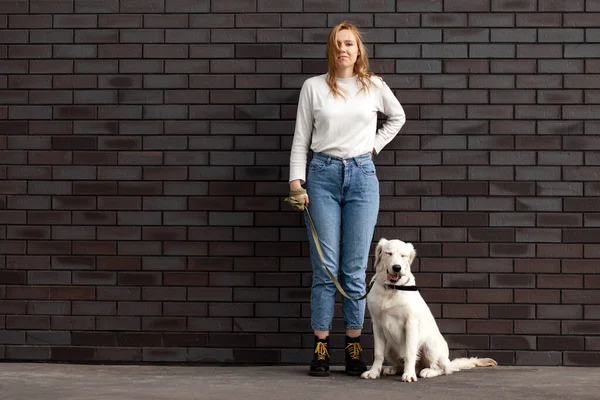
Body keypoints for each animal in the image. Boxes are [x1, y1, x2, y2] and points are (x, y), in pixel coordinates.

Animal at [360, 238, 496, 382]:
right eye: (388, 253)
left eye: (403, 256)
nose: (397, 268)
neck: (391, 289)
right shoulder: (377, 324)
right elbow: (378, 353)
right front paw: (373, 372)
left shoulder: (411, 323)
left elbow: (409, 353)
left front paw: (409, 375)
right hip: (389, 347)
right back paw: (393, 368)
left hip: (430, 345)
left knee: (443, 369)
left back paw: (427, 371)